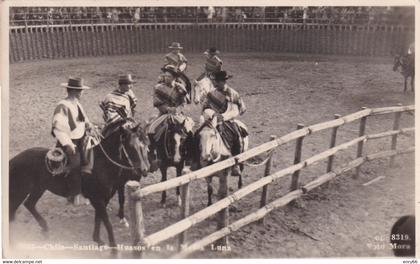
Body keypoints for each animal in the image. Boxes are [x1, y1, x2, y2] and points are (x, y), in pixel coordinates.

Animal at [8, 120, 151, 249]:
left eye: (144, 144)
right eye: (130, 146)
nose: (144, 169)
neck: (101, 164)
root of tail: (14, 159)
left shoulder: (103, 199)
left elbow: (98, 219)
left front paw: (98, 239)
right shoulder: (97, 199)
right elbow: (107, 222)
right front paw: (113, 246)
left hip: (39, 188)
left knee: (29, 204)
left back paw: (45, 228)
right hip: (20, 190)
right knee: (13, 210)